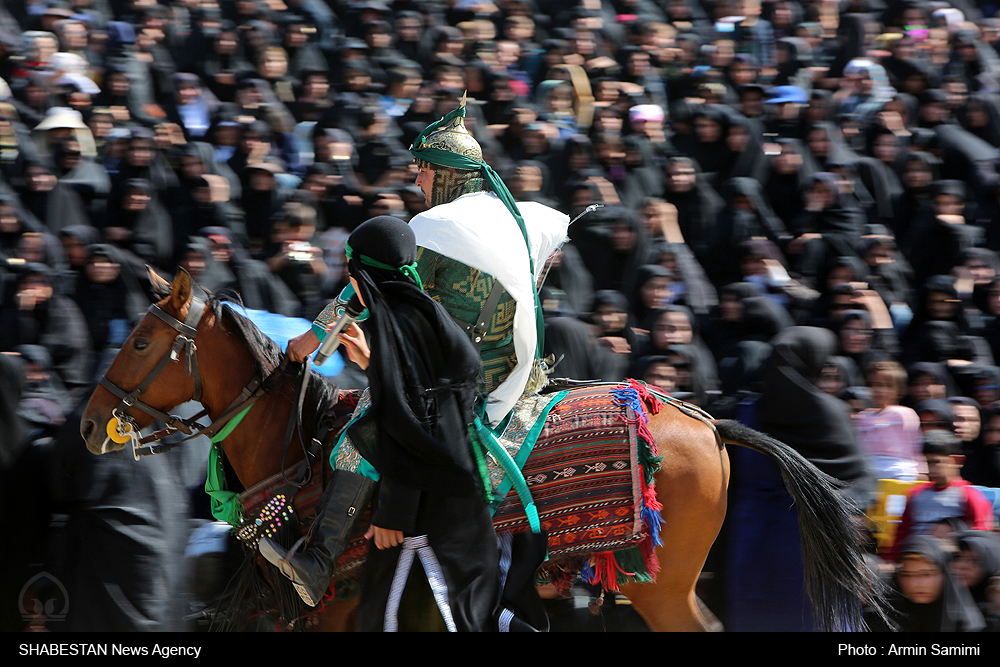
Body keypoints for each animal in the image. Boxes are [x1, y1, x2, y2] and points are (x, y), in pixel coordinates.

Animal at [84, 270, 884, 632]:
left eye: (143, 341)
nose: (91, 425)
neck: (300, 451)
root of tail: (708, 422)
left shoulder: (333, 606)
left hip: (661, 586)